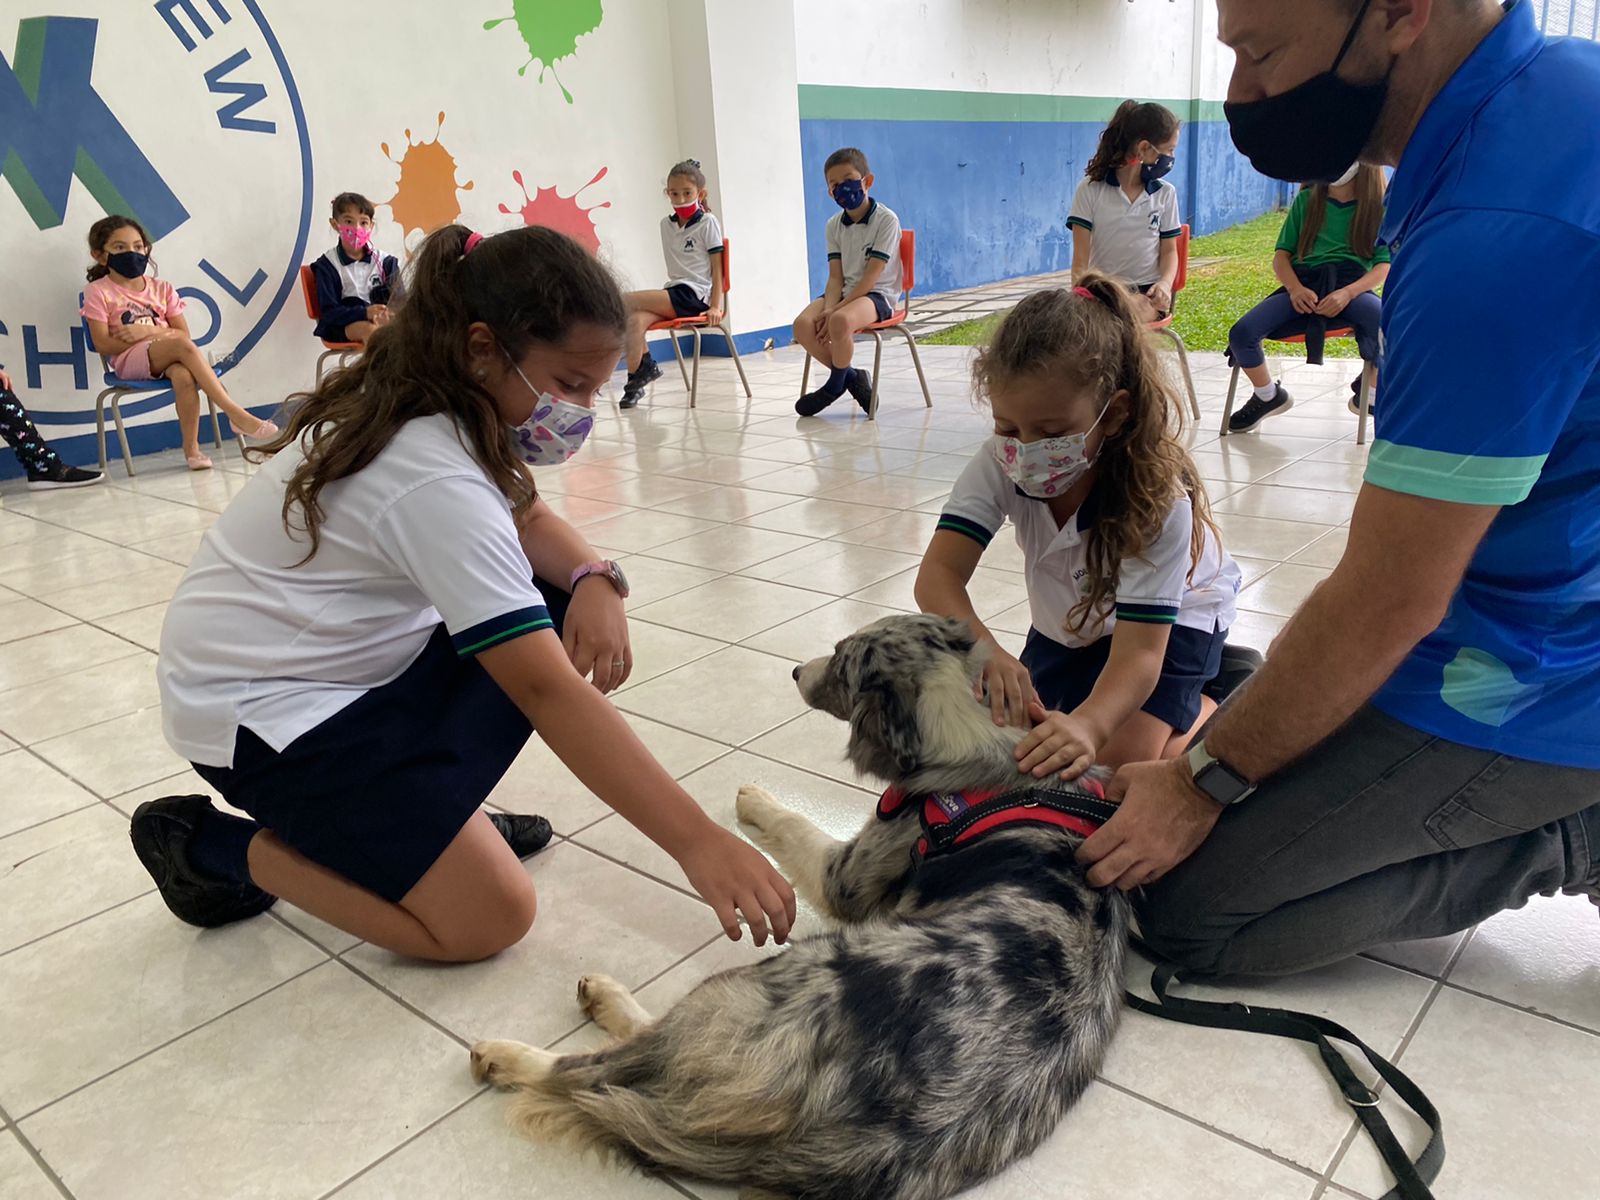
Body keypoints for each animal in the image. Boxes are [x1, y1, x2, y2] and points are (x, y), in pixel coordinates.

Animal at [470, 614, 1130, 1200]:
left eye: (839, 661)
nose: (793, 670)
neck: (969, 731)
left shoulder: (848, 872)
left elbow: (797, 826)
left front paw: (757, 798)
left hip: (748, 984)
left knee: (611, 1060)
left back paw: (521, 1046)